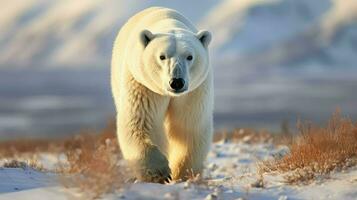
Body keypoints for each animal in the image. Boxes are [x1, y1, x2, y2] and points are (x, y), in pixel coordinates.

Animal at [110, 7, 211, 183]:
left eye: (190, 56)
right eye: (162, 56)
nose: (176, 82)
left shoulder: (193, 93)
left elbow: (188, 127)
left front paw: (182, 173)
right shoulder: (143, 86)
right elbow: (140, 123)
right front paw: (160, 173)